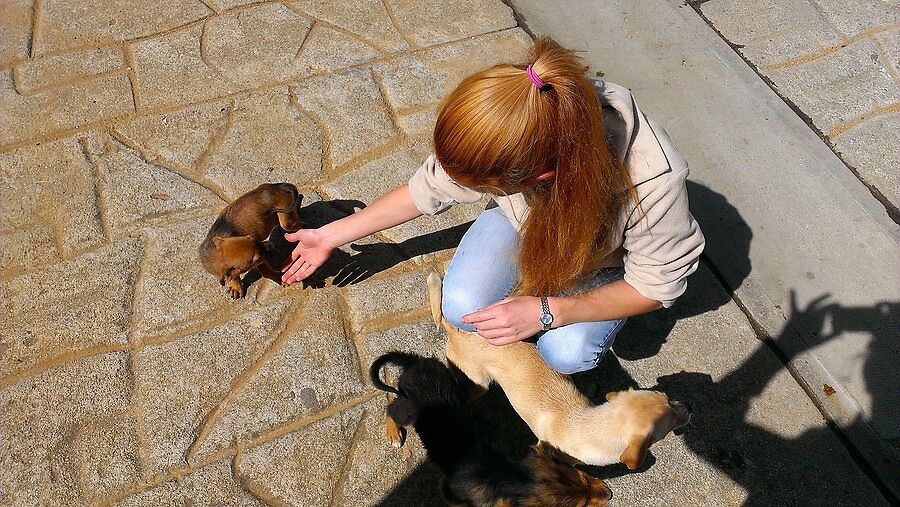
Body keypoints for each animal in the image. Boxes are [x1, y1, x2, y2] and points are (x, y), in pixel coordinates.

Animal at [368, 354, 612, 507]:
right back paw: (393, 433)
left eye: (584, 476)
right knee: (392, 408)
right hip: (409, 409)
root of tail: (414, 362)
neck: (507, 474)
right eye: (582, 504)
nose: (609, 494)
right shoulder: (450, 490)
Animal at [426, 272, 692, 470]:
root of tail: (452, 325)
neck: (585, 425)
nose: (690, 408)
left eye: (668, 397)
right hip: (478, 382)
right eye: (670, 422)